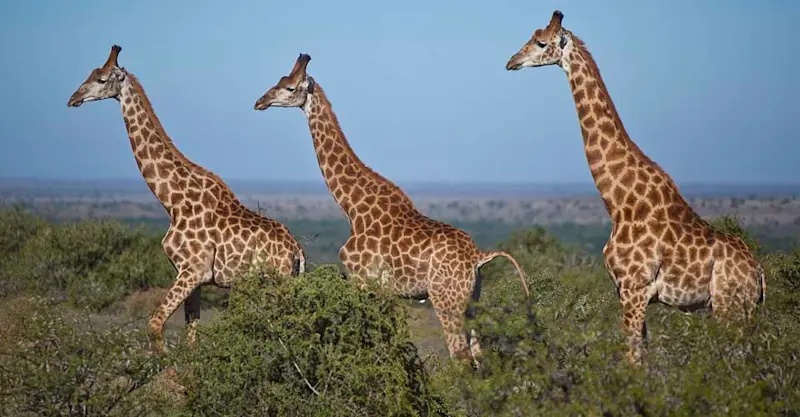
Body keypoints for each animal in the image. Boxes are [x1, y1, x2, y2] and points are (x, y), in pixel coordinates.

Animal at [67, 45, 307, 353]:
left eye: (102, 79)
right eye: (91, 73)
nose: (74, 98)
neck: (172, 201)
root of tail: (297, 251)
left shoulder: (192, 270)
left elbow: (155, 324)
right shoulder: (192, 276)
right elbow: (191, 337)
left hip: (275, 281)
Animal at [253, 54, 530, 364]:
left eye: (290, 88)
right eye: (279, 81)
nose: (260, 102)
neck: (353, 208)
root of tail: (478, 257)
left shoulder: (363, 280)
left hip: (446, 301)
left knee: (460, 358)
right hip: (472, 300)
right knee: (479, 356)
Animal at [505, 11, 766, 364]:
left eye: (541, 42)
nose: (512, 61)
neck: (619, 202)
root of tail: (758, 275)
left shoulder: (634, 288)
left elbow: (631, 359)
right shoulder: (627, 290)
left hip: (730, 306)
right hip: (740, 310)